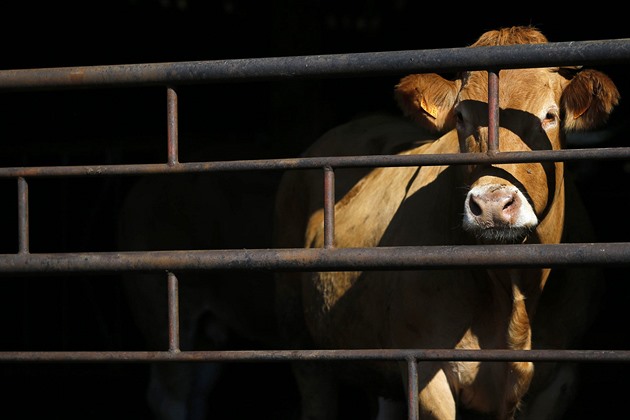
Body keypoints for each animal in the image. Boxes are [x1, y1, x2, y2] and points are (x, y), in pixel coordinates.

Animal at [274, 27, 620, 420]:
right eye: (460, 118)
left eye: (550, 116)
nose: (492, 204)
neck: (513, 291)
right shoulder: (427, 370)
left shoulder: (560, 380)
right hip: (298, 334)